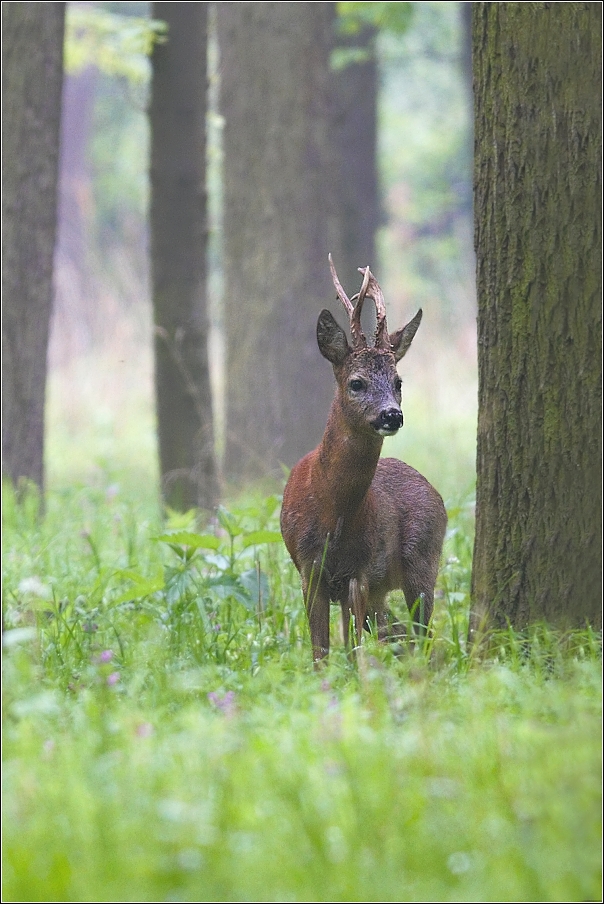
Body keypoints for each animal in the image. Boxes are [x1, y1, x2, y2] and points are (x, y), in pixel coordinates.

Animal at [280, 256, 446, 664]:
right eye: (356, 382)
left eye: (399, 382)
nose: (392, 415)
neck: (332, 511)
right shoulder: (309, 568)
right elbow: (321, 652)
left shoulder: (362, 571)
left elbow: (353, 652)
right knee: (400, 634)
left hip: (422, 561)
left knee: (419, 635)